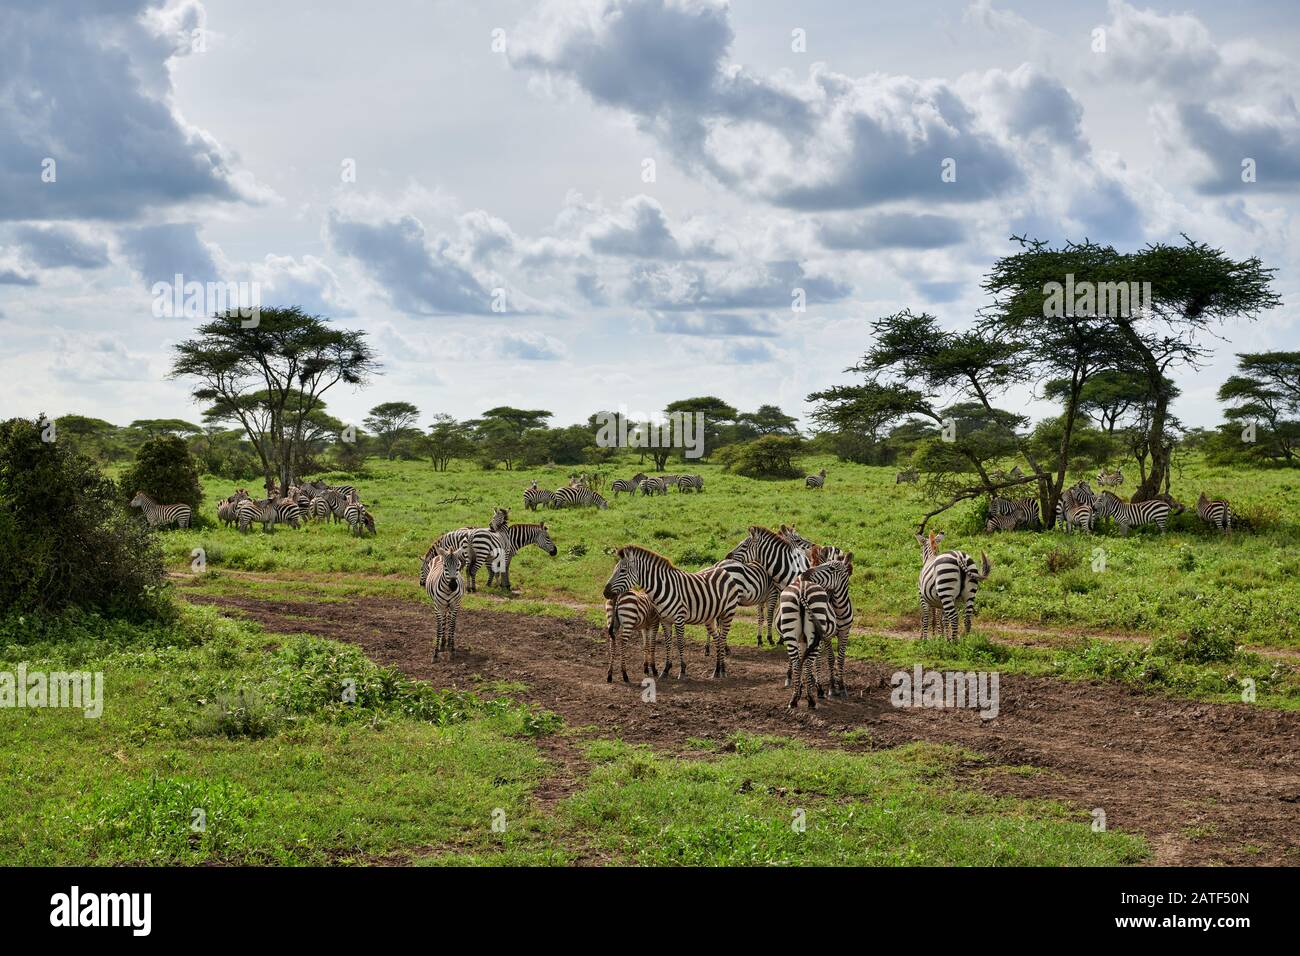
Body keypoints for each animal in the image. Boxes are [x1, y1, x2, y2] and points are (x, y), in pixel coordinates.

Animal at [600, 546, 738, 681]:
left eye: (623, 571)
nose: (605, 592)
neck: (662, 588)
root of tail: (722, 570)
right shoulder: (665, 620)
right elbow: (667, 643)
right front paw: (665, 670)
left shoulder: (679, 619)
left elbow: (680, 644)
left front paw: (682, 671)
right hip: (710, 617)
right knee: (717, 639)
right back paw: (717, 670)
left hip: (728, 613)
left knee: (723, 638)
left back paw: (723, 670)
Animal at [774, 574, 837, 712]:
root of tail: (802, 591)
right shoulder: (817, 640)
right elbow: (816, 662)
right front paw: (818, 689)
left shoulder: (801, 640)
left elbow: (801, 658)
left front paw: (800, 689)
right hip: (815, 628)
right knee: (808, 663)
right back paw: (811, 700)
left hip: (790, 630)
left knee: (798, 662)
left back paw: (793, 700)